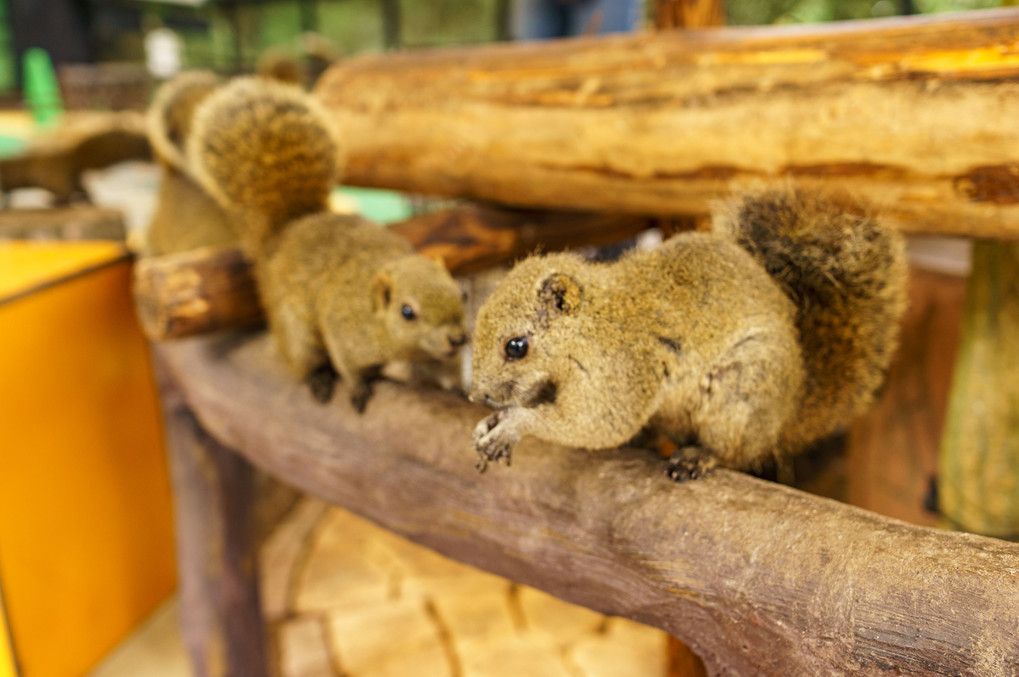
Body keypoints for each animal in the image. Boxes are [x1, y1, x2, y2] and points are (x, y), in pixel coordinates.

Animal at [189, 76, 466, 409]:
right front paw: (358, 388)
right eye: (407, 312)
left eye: (462, 293)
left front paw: (458, 390)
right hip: (295, 333)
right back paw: (319, 378)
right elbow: (348, 366)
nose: (458, 339)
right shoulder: (343, 330)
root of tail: (285, 233)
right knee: (304, 361)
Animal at [468, 187, 908, 479]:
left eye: (516, 346)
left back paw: (701, 457)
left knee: (735, 453)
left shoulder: (624, 372)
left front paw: (515, 423)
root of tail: (789, 408)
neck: (594, 325)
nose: (477, 395)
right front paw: (495, 418)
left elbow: (597, 424)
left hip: (741, 393)